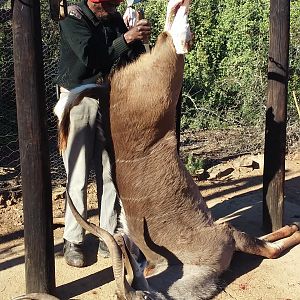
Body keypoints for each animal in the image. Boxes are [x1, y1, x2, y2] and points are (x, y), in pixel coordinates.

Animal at [17, 0, 300, 300]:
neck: (180, 262)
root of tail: (108, 88)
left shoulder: (228, 234)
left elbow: (272, 246)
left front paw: (294, 226)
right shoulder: (229, 234)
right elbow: (271, 248)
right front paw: (294, 226)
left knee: (172, 37)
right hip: (166, 78)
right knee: (173, 37)